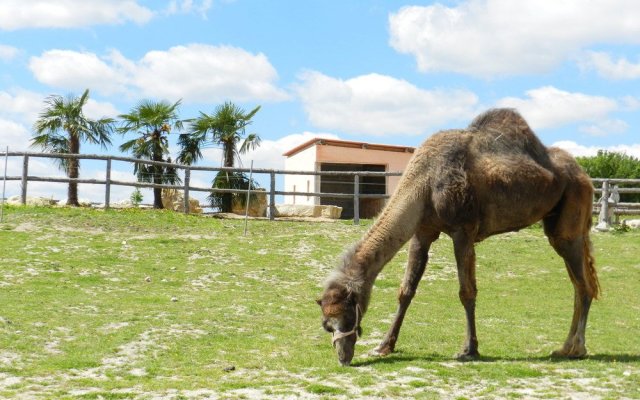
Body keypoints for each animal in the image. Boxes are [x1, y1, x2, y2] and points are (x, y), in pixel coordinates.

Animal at [318, 108, 596, 366]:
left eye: (346, 315)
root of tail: (586, 177)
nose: (343, 357)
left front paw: (468, 350)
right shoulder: (422, 231)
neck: (424, 183)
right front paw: (383, 346)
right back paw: (564, 347)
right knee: (578, 283)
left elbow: (466, 291)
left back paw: (575, 349)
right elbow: (406, 290)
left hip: (569, 219)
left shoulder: (463, 231)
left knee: (582, 284)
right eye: (326, 325)